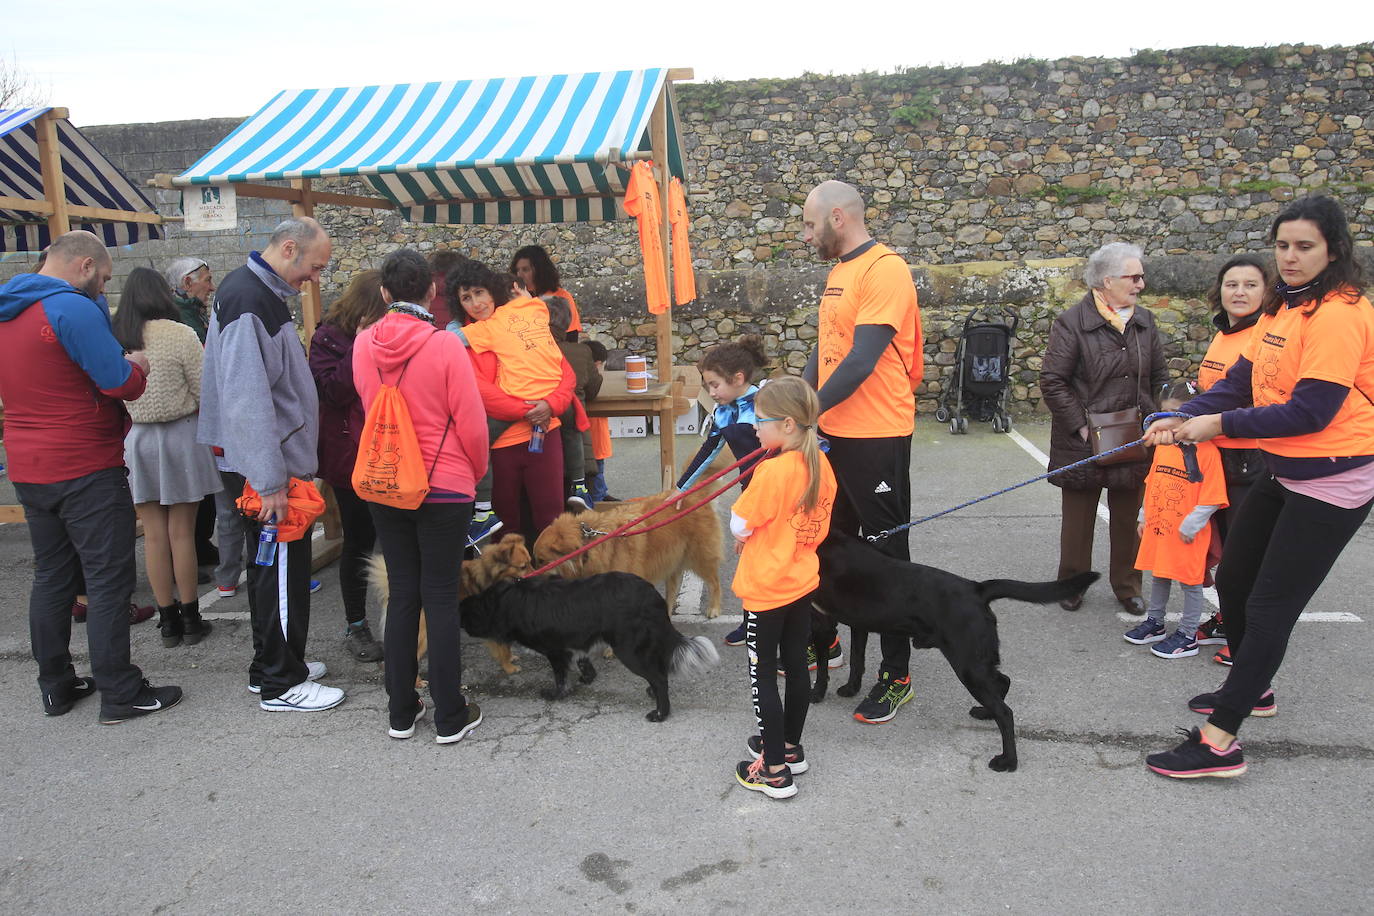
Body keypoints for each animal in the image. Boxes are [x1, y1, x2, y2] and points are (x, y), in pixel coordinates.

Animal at [368, 532, 533, 678]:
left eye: (531, 562)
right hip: (422, 635)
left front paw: (510, 658)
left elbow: (507, 646)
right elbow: (502, 648)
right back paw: (418, 683)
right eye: (522, 567)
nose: (536, 573)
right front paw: (509, 667)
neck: (493, 577)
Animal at [458, 574, 719, 725]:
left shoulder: (554, 650)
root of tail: (652, 595)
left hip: (628, 649)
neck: (501, 602)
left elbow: (560, 678)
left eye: (463, 617)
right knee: (658, 673)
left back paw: (660, 713)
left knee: (659, 678)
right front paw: (587, 678)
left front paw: (556, 695)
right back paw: (652, 693)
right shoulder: (574, 644)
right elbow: (583, 662)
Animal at [530, 483, 725, 620]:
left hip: (700, 558)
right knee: (672, 590)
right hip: (672, 560)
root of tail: (695, 494)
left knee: (715, 583)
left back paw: (714, 608)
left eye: (542, 561)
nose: (529, 580)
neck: (590, 542)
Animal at [807, 530, 1099, 774]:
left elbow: (822, 667)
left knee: (1006, 713)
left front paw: (816, 693)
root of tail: (977, 589)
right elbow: (857, 660)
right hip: (977, 661)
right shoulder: (857, 623)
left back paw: (1007, 761)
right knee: (1003, 682)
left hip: (967, 665)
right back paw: (985, 713)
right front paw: (850, 688)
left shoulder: (820, 621)